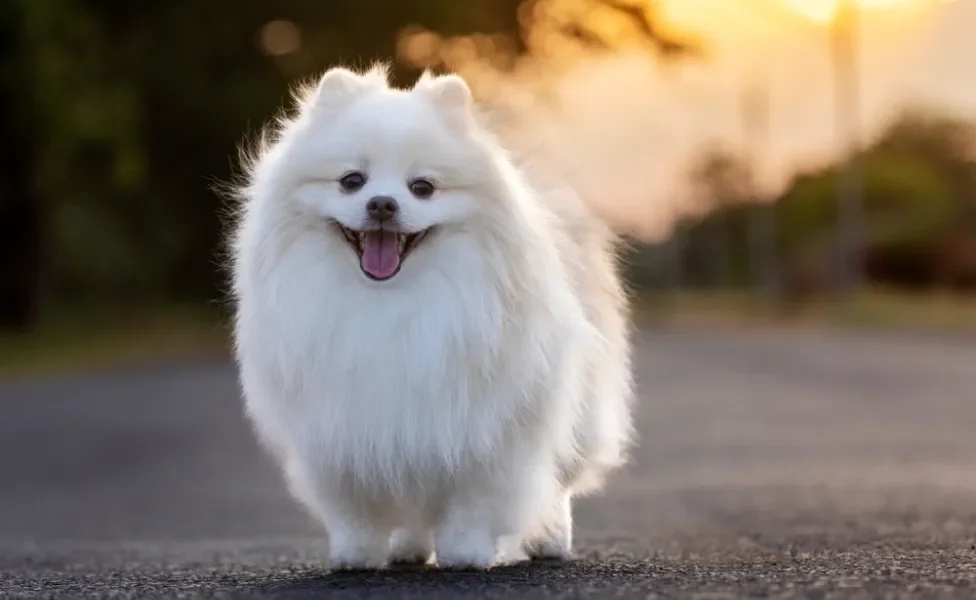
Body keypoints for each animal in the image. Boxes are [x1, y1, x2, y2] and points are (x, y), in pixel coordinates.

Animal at [233, 63, 636, 568]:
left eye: (421, 187)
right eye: (351, 181)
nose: (382, 204)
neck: (390, 303)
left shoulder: (486, 431)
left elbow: (473, 502)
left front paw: (466, 553)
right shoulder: (342, 429)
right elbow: (354, 507)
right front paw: (356, 554)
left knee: (560, 481)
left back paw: (549, 541)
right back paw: (408, 548)